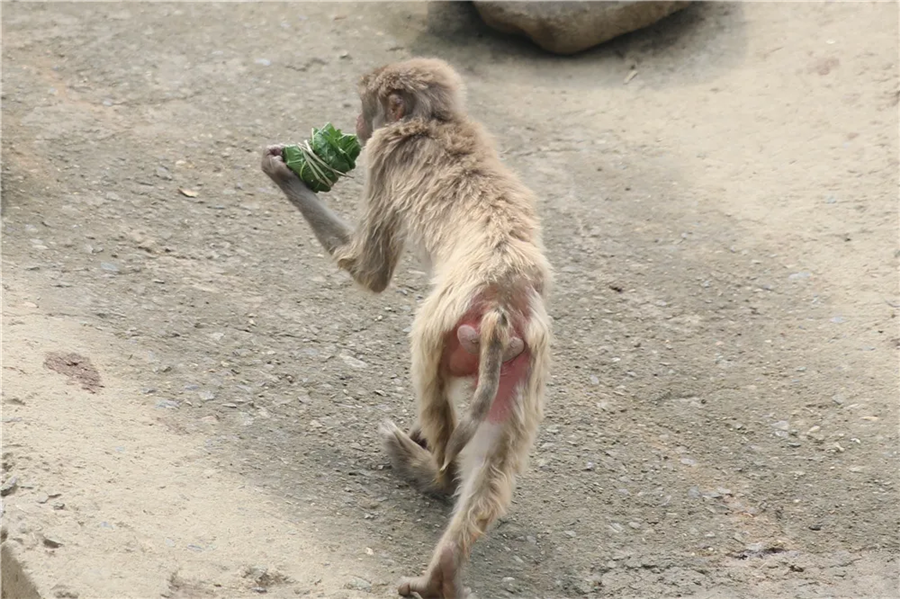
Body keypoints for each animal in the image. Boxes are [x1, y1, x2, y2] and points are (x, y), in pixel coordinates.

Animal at [260, 57, 552, 599]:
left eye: (365, 107)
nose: (356, 124)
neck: (435, 122)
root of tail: (502, 303)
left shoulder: (383, 156)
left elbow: (370, 270)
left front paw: (287, 172)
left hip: (443, 329)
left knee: (433, 387)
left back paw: (431, 474)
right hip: (521, 364)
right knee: (490, 458)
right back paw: (443, 571)